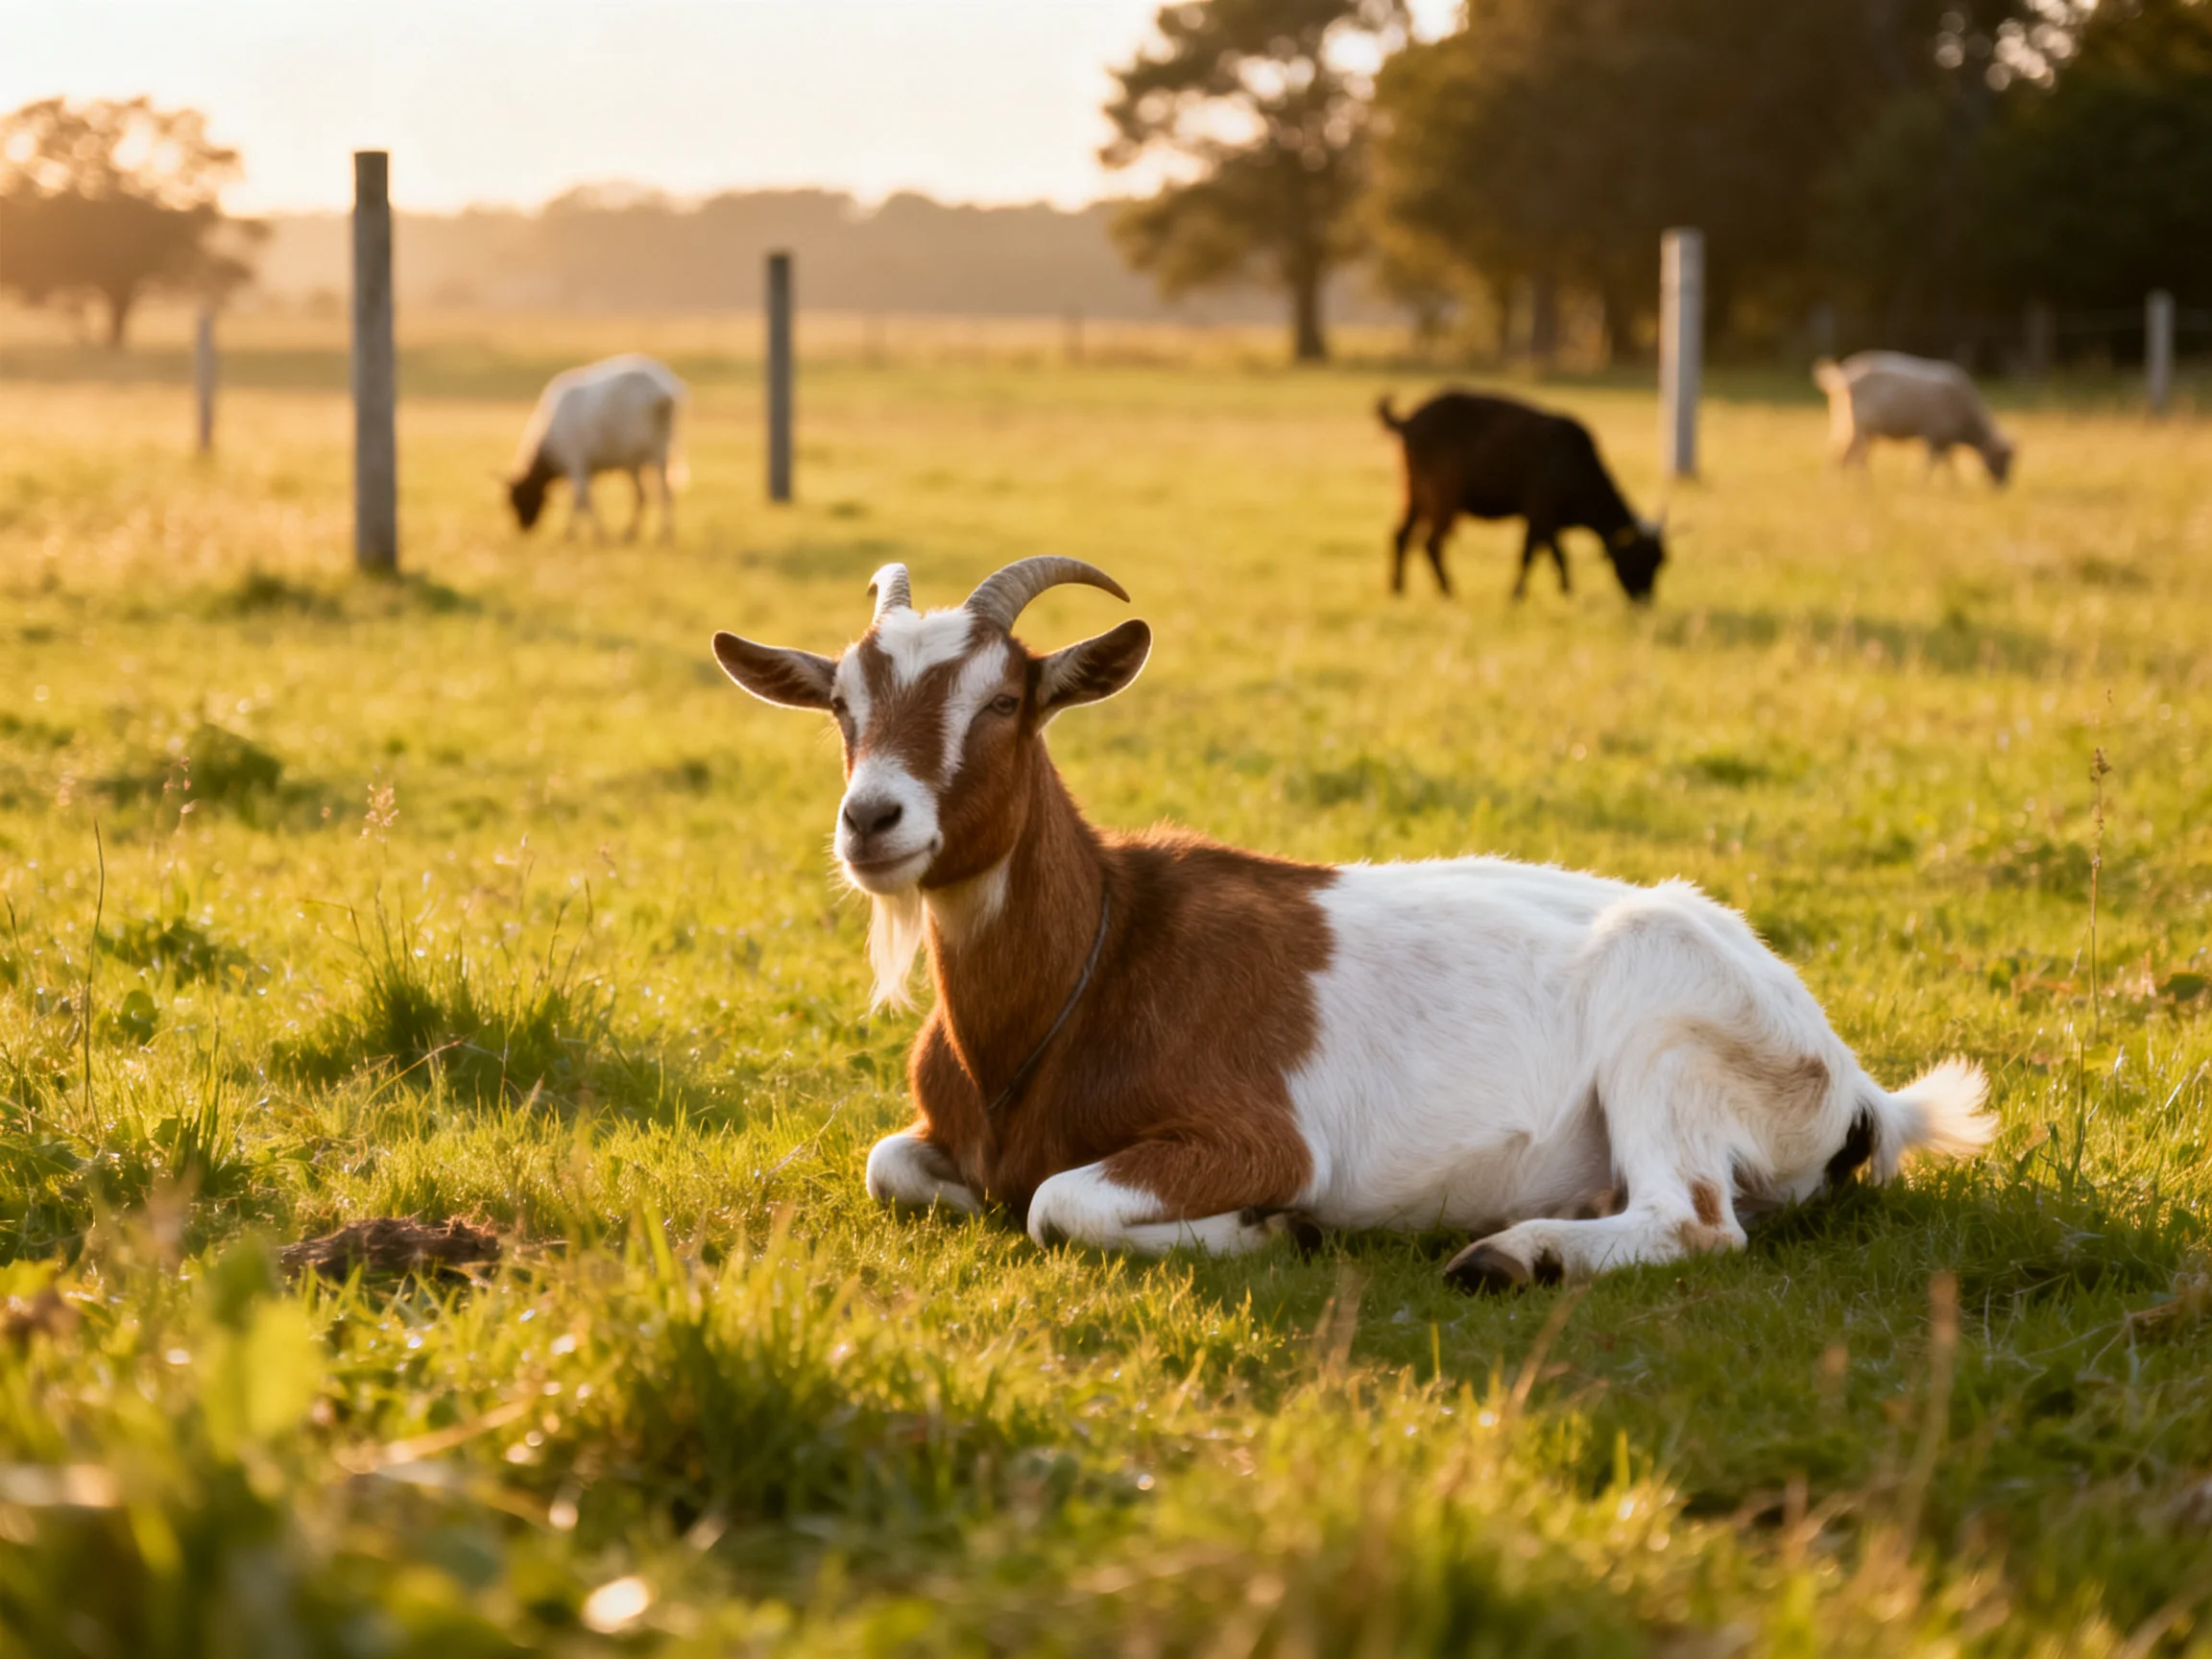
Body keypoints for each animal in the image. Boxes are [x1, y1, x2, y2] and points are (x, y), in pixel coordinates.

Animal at [508, 354, 687, 541]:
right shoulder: (586, 469)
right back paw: (664, 535)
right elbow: (581, 501)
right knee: (666, 492)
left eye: (519, 498)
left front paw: (587, 534)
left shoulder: (576, 462)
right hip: (661, 451)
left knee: (643, 494)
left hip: (635, 456)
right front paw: (579, 533)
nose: (524, 529)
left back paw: (632, 533)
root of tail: (662, 392)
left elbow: (583, 500)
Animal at [710, 559, 1994, 1289]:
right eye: (841, 703)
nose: (873, 819)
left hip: (1665, 1034)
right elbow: (889, 1163)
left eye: (1008, 700)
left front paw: (1269, 1234)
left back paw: (1508, 1254)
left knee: (1695, 1225)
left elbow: (1053, 1202)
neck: (1092, 969)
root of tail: (1854, 1082)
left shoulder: (1258, 1137)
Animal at [1378, 391, 1667, 604]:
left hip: (1415, 496)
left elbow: (1553, 555)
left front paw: (1565, 592)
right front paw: (1520, 595)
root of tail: (1408, 421)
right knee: (1430, 543)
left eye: (1661, 562)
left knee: (1401, 535)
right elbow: (1535, 555)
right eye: (1641, 558)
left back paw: (1398, 588)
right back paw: (1449, 590)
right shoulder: (1539, 514)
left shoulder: (1548, 522)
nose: (1646, 602)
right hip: (1443, 499)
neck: (1575, 465)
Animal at [1814, 352, 2015, 487]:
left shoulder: (1944, 440)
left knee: (1843, 452)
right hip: (1859, 425)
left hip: (1849, 424)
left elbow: (1948, 464)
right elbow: (1930, 463)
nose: (2002, 487)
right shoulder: (1934, 435)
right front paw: (1920, 484)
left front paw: (1954, 486)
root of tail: (1842, 377)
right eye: (2001, 459)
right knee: (1851, 455)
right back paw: (1856, 486)